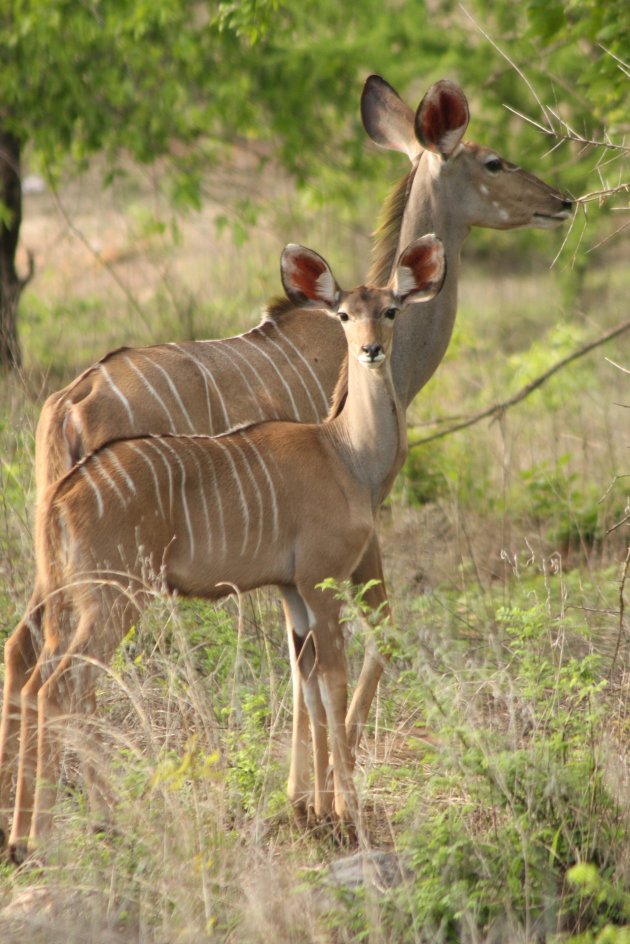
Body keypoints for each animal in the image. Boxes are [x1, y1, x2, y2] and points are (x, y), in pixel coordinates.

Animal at [6, 232, 450, 860]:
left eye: (390, 310)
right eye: (343, 315)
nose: (370, 351)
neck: (346, 453)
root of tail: (64, 493)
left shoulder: (291, 590)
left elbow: (308, 684)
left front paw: (312, 810)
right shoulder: (322, 583)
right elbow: (334, 683)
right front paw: (345, 812)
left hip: (69, 595)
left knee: (32, 668)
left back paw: (26, 836)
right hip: (115, 598)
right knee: (60, 685)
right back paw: (49, 837)